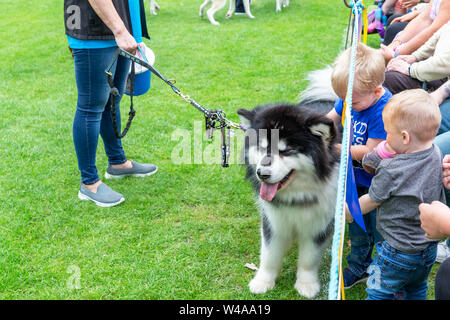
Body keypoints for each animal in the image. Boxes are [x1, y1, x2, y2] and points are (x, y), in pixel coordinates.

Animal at [237, 67, 340, 298]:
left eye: (286, 151)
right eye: (262, 147)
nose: (262, 174)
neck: (297, 196)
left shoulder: (319, 224)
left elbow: (309, 259)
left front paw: (307, 285)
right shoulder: (273, 220)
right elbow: (269, 255)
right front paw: (263, 281)